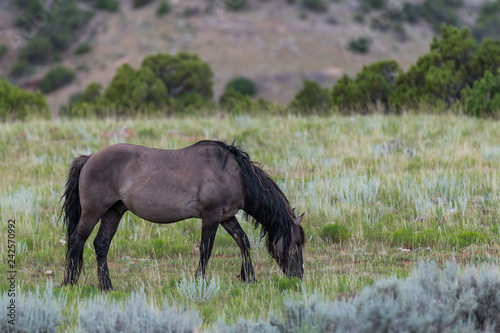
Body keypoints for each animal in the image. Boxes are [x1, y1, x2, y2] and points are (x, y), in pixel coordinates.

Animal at [62, 139, 304, 290]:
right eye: (297, 243)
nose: (299, 276)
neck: (235, 174)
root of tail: (89, 158)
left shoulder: (226, 217)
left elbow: (243, 242)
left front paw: (249, 278)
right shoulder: (211, 215)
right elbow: (206, 249)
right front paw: (199, 282)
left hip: (114, 211)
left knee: (101, 245)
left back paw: (107, 286)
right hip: (93, 211)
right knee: (77, 241)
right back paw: (69, 283)